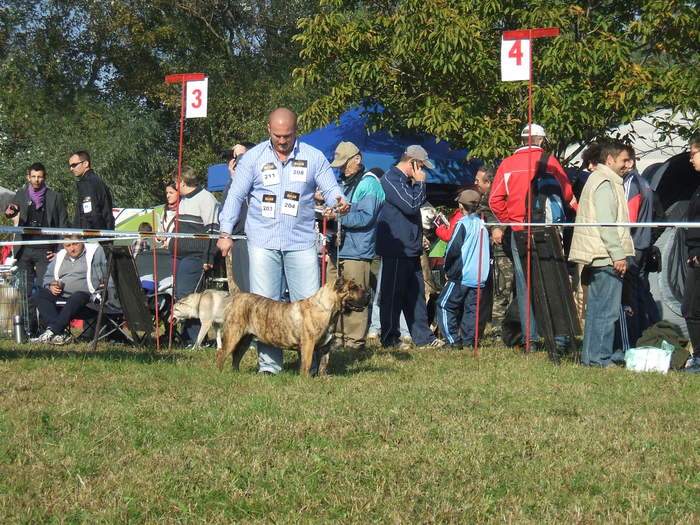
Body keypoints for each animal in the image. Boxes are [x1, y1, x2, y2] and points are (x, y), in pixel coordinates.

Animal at [217, 276, 372, 374]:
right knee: (222, 354)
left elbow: (323, 363)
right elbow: (307, 364)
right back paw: (221, 375)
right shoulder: (308, 344)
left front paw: (323, 378)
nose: (369, 295)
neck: (327, 309)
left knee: (236, 356)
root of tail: (238, 294)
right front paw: (306, 380)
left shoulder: (325, 347)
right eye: (353, 288)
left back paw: (236, 373)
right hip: (233, 335)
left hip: (245, 339)